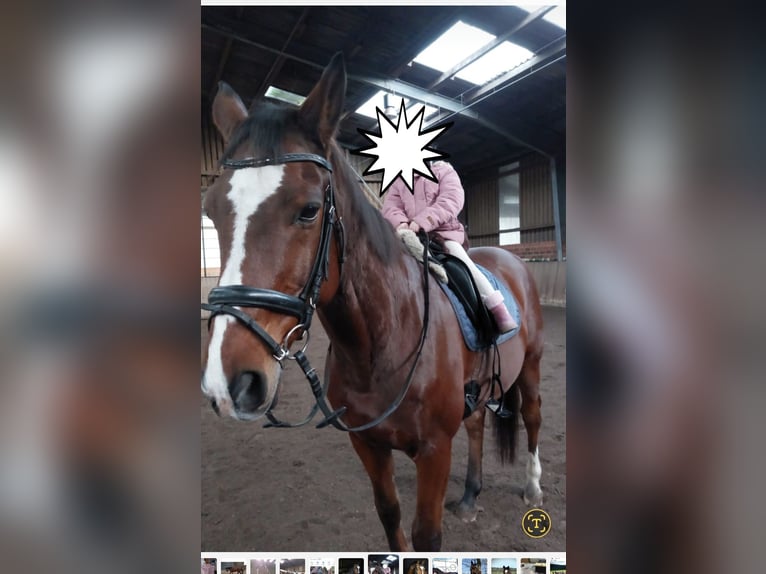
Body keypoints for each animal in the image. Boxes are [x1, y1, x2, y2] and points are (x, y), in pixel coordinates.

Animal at [200, 52, 544, 551]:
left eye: (309, 209)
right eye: (210, 211)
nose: (228, 383)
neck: (383, 343)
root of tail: (508, 258)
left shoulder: (434, 450)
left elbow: (425, 536)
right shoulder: (368, 444)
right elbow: (390, 516)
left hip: (532, 364)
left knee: (532, 416)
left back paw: (533, 488)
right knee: (478, 421)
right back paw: (470, 495)